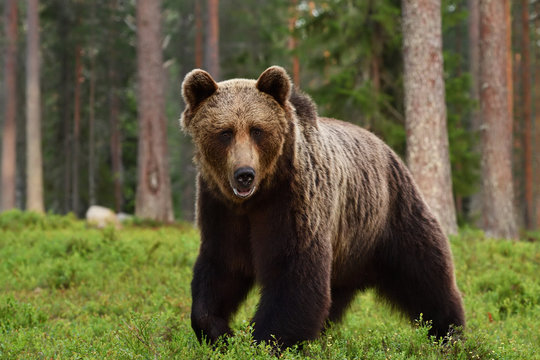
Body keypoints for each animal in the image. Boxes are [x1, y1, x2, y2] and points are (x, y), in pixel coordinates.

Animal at [180, 65, 464, 348]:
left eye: (257, 130)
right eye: (225, 132)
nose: (244, 174)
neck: (257, 198)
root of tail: (386, 147)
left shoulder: (293, 201)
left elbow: (294, 276)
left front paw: (267, 340)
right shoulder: (220, 208)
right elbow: (222, 267)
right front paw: (220, 332)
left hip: (390, 214)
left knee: (425, 273)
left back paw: (450, 331)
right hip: (347, 247)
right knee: (334, 296)